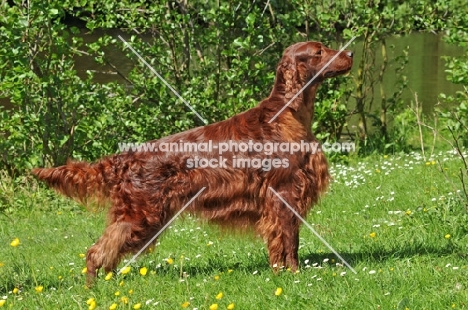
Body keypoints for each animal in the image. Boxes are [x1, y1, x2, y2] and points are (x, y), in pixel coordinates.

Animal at [33, 41, 352, 284]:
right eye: (319, 51)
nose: (350, 53)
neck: (288, 116)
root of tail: (126, 158)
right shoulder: (283, 195)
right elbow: (287, 243)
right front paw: (291, 276)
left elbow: (289, 241)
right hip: (141, 216)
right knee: (95, 252)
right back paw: (93, 289)